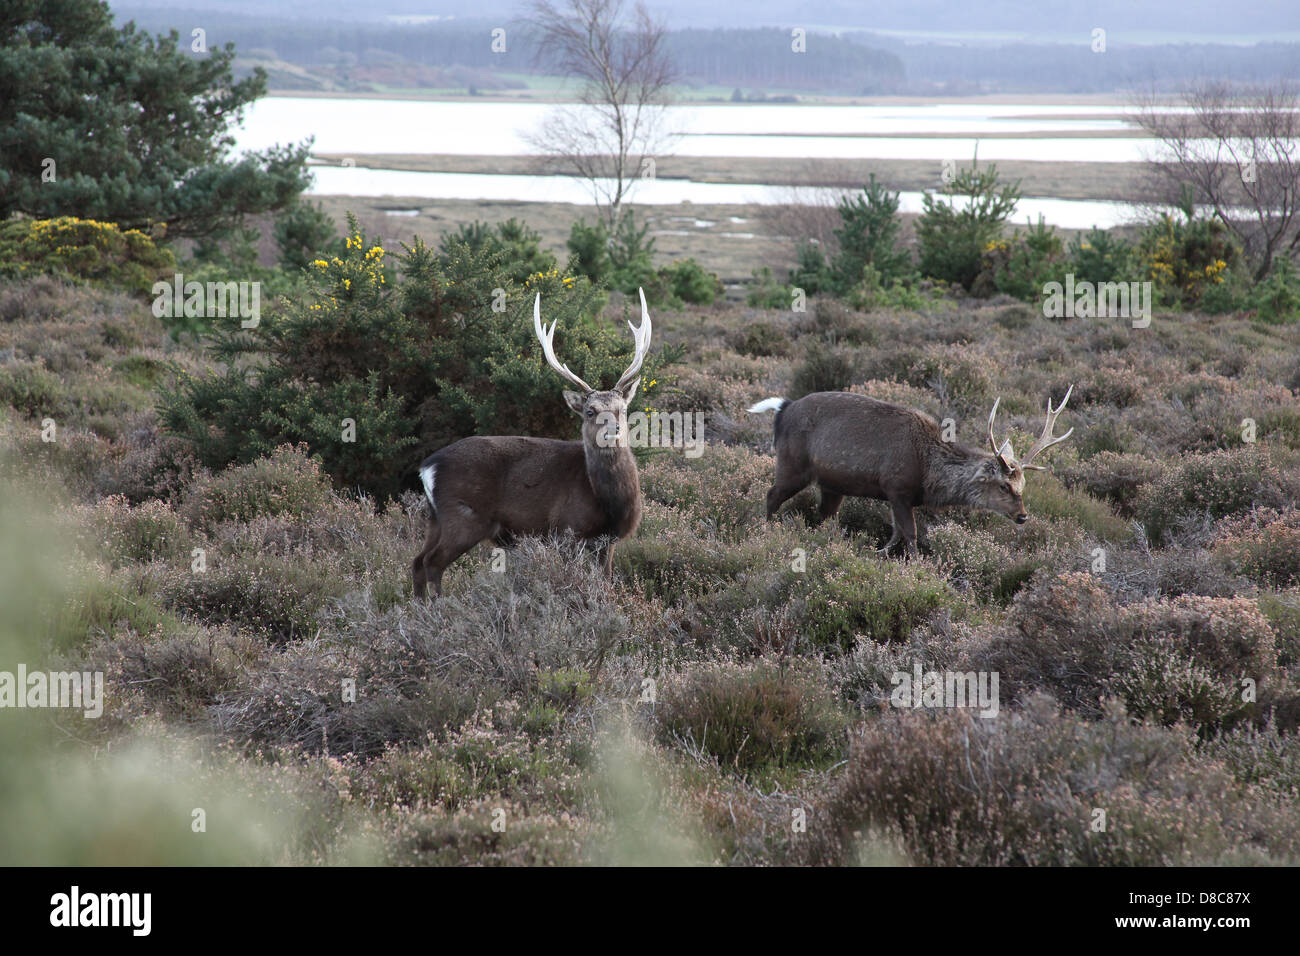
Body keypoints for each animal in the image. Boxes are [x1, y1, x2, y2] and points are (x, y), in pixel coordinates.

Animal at [411, 291, 652, 598]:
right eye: (590, 411)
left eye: (622, 408)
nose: (613, 429)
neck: (609, 502)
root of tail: (427, 468)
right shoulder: (566, 531)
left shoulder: (607, 542)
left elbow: (606, 582)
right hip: (463, 515)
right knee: (432, 563)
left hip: (436, 518)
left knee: (417, 561)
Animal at [748, 387, 1074, 556]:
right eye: (1003, 485)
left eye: (1023, 485)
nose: (1022, 516)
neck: (928, 473)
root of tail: (783, 409)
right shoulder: (898, 487)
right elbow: (911, 534)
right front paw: (917, 568)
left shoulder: (896, 496)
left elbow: (894, 533)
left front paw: (880, 554)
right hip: (793, 464)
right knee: (771, 495)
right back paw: (765, 532)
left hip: (831, 484)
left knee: (823, 515)